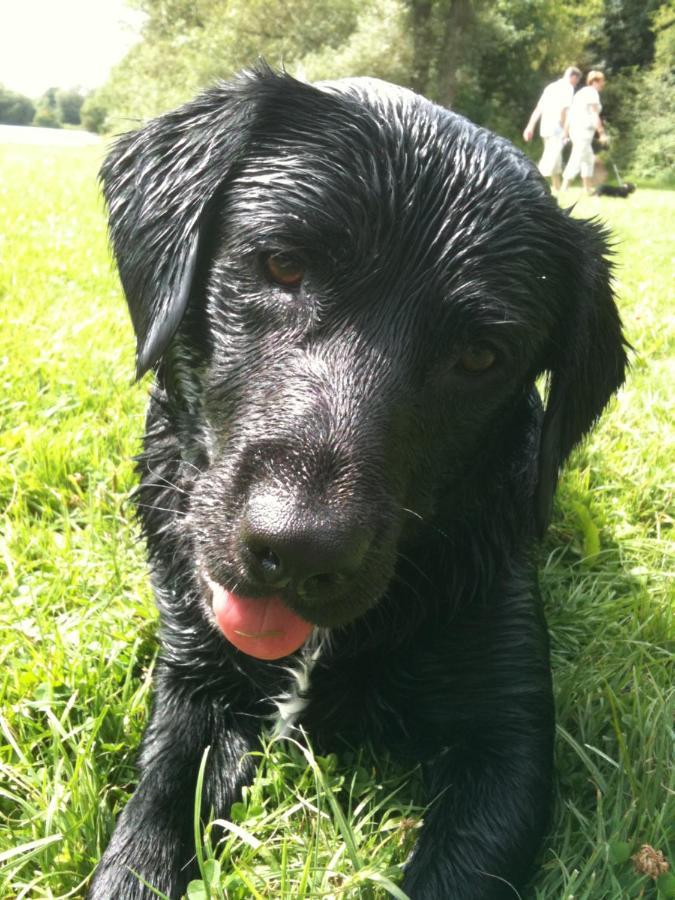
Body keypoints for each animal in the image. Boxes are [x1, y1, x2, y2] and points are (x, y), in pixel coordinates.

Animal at [91, 68, 628, 900]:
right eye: (281, 265)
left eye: (480, 356)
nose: (297, 551)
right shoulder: (193, 682)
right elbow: (146, 828)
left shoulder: (507, 737)